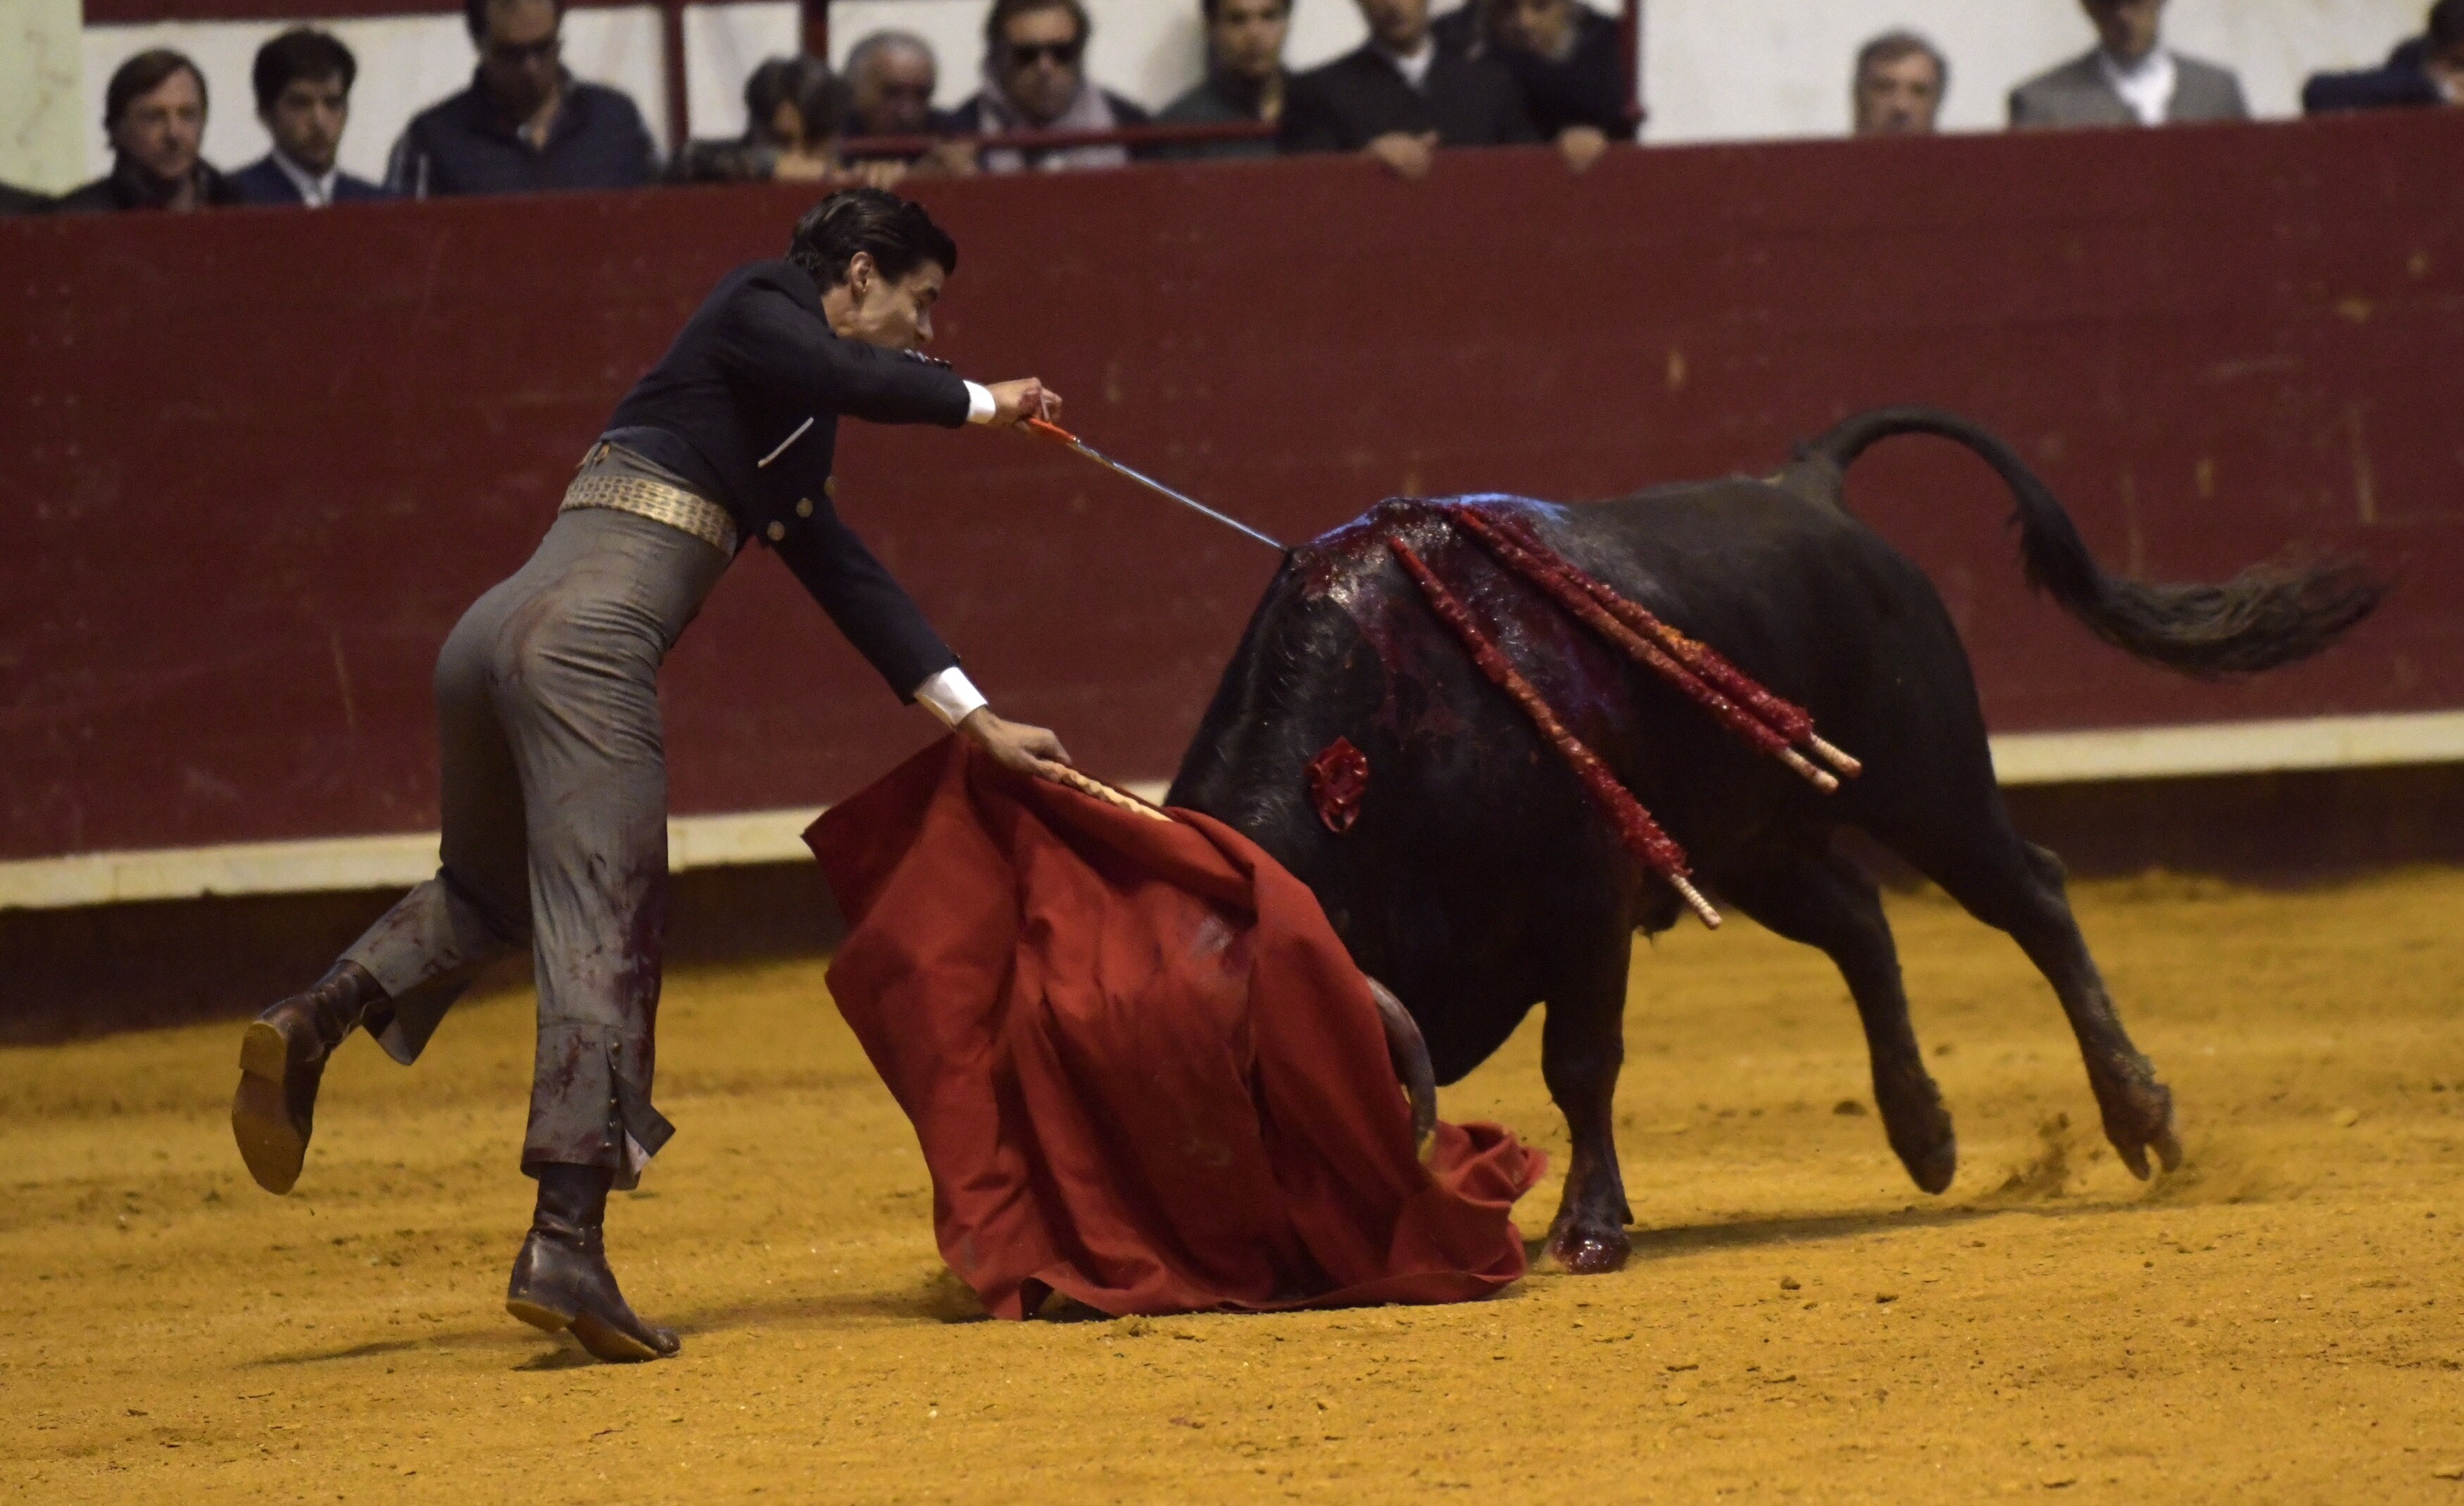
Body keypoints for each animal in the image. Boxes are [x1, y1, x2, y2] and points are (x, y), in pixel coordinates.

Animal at [1163, 404, 2375, 1272]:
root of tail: (1810, 488)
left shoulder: (1589, 904)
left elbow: (1580, 1062)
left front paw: (1589, 1229)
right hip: (1752, 846)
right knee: (1862, 921)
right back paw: (1924, 1133)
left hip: (1928, 786)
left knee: (2031, 895)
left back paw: (2139, 1113)